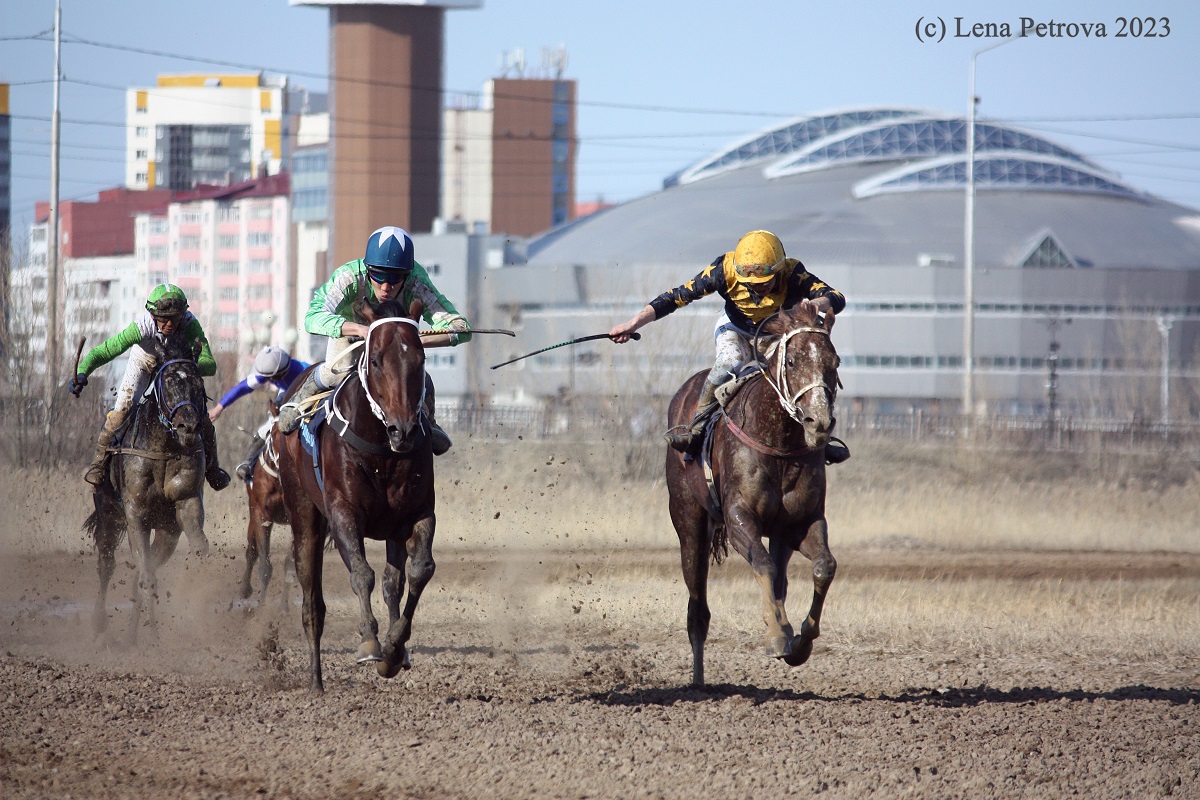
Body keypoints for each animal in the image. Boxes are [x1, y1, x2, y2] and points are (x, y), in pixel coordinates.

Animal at [85, 338, 212, 638]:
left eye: (198, 383)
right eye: (168, 382)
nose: (188, 427)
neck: (163, 449)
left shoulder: (186, 504)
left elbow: (198, 549)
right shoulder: (135, 514)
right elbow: (144, 574)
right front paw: (152, 638)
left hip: (166, 532)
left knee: (141, 573)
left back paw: (133, 634)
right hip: (108, 515)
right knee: (107, 565)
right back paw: (100, 624)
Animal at [274, 297, 436, 690]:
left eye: (421, 359)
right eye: (375, 359)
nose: (403, 430)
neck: (381, 450)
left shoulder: (418, 513)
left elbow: (419, 570)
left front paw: (394, 647)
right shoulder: (343, 512)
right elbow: (362, 573)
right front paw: (369, 642)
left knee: (393, 582)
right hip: (304, 515)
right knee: (312, 604)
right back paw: (316, 683)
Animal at [667, 302, 844, 690]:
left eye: (834, 361)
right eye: (791, 361)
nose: (819, 422)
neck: (779, 443)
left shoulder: (801, 523)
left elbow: (824, 566)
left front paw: (800, 642)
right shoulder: (738, 519)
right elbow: (762, 563)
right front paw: (777, 636)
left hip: (778, 534)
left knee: (781, 580)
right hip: (689, 522)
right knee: (697, 608)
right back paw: (698, 680)